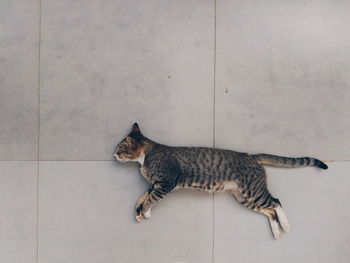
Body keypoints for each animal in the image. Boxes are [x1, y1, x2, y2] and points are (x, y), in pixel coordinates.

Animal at [114, 122, 328, 240]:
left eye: (119, 150)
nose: (113, 155)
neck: (145, 159)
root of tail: (250, 156)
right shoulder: (155, 185)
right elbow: (142, 197)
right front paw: (141, 212)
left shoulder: (166, 183)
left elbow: (150, 198)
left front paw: (145, 212)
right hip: (243, 198)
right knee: (269, 211)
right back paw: (276, 232)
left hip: (253, 190)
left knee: (276, 202)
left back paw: (286, 225)